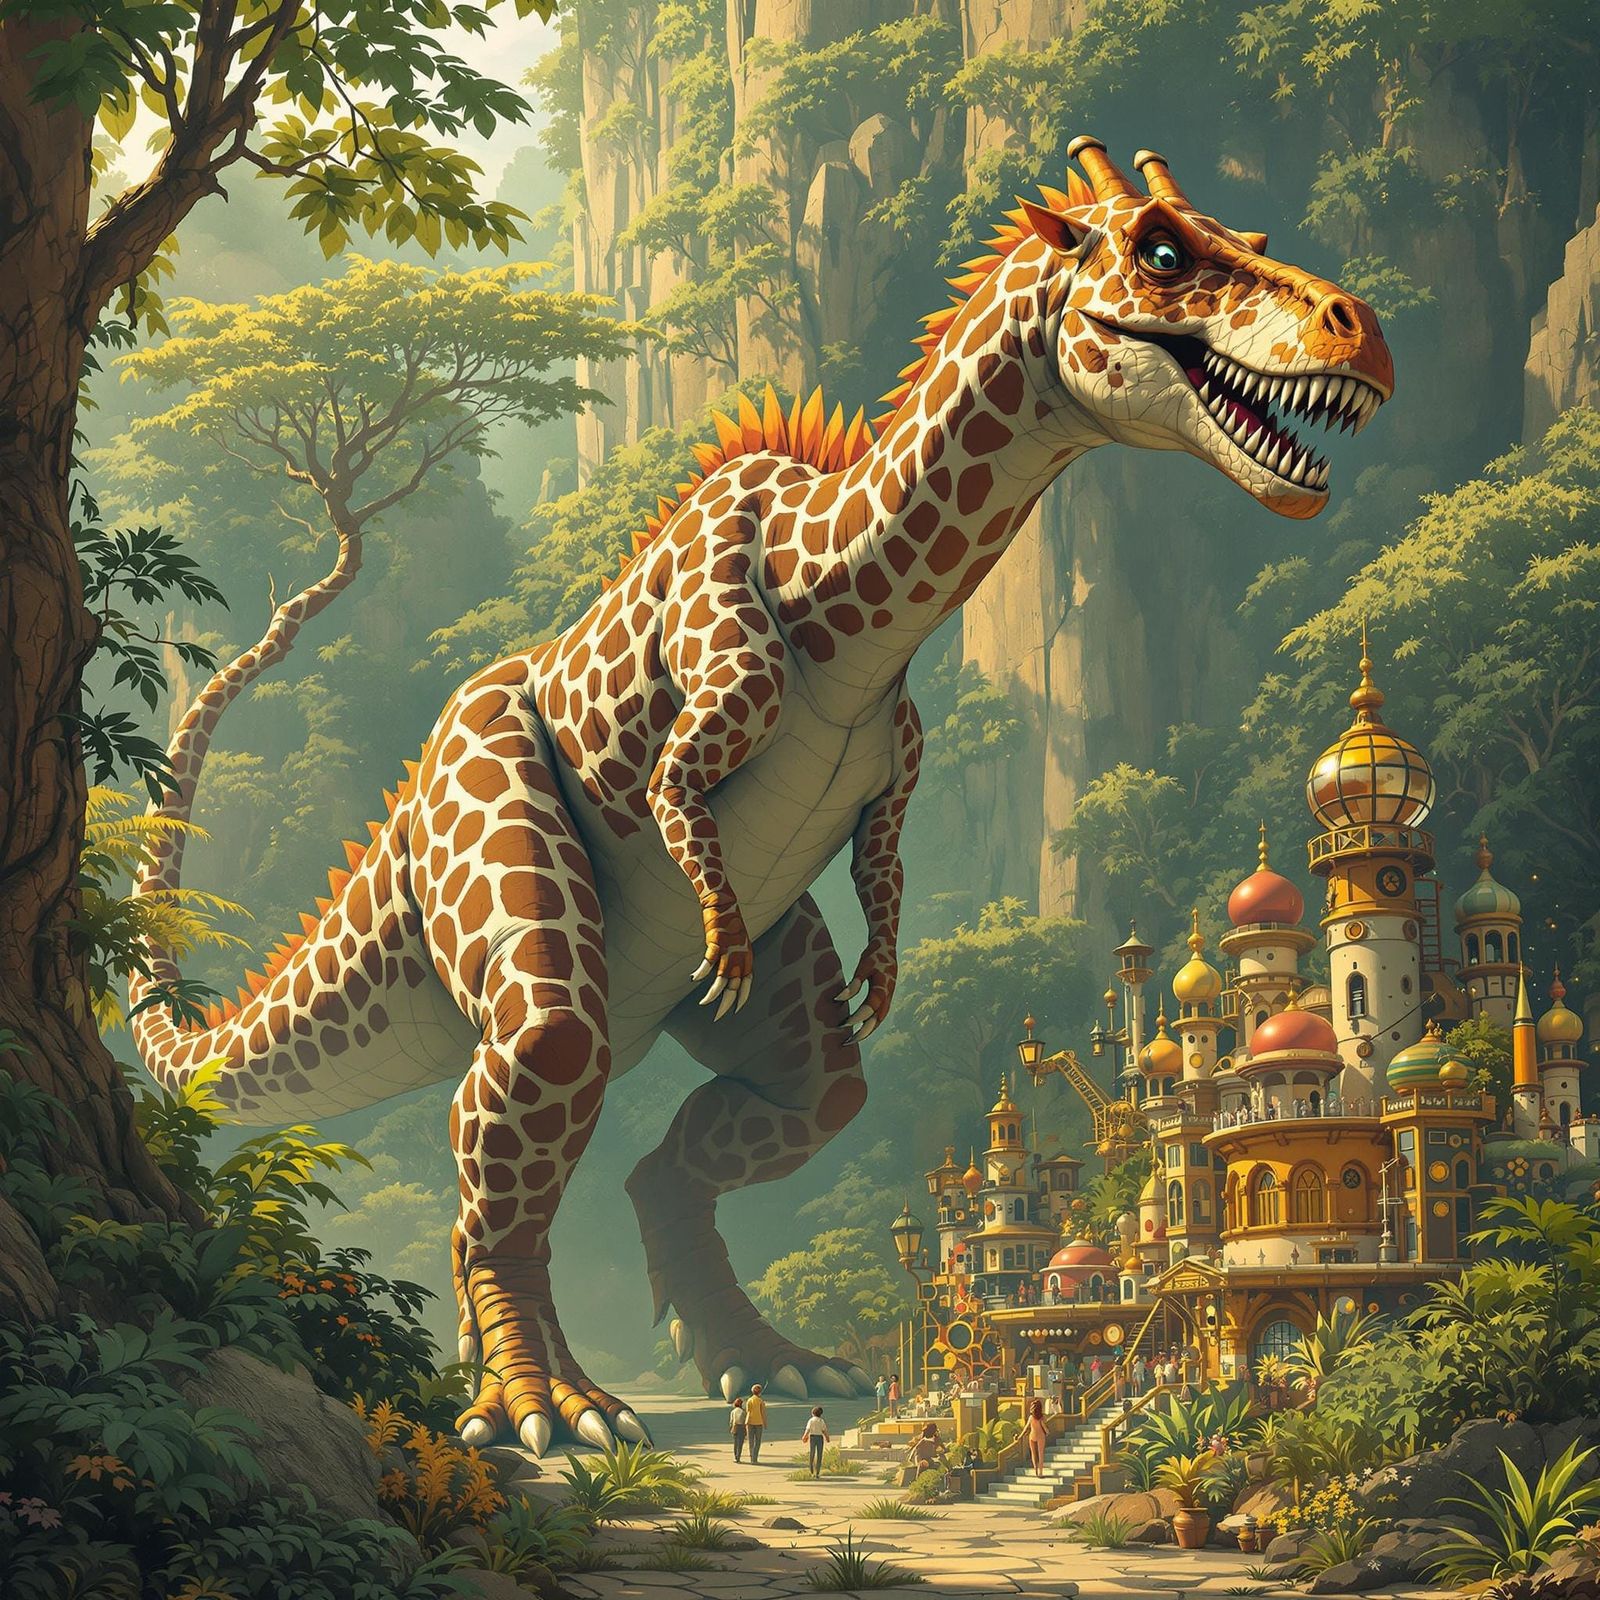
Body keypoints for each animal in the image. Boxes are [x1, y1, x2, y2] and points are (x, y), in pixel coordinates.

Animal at [131, 139, 1393, 1455]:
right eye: (1158, 251)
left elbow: (883, 870)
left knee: (764, 1117)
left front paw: (882, 969)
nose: (1361, 328)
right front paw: (720, 917)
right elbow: (678, 792)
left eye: (1241, 232)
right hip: (485, 826)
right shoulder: (713, 684)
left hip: (738, 1010)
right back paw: (540, 1399)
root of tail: (410, 804)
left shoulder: (895, 764)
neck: (841, 611)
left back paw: (761, 1356)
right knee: (527, 1104)